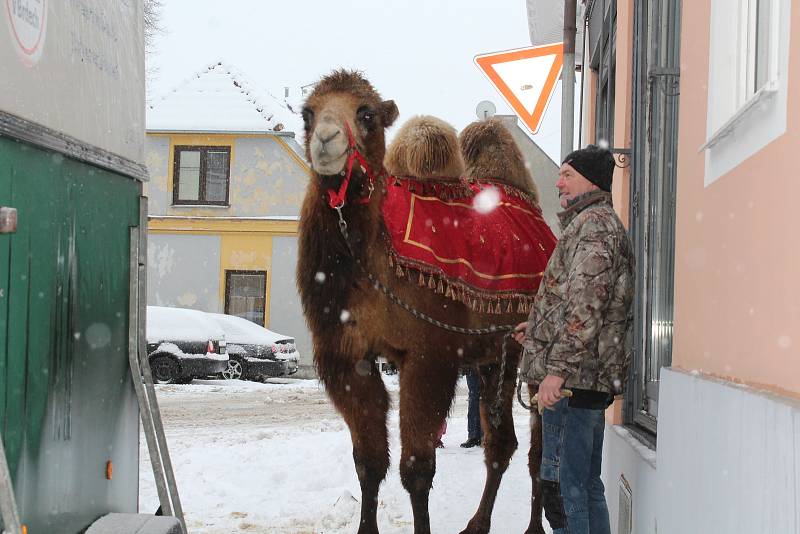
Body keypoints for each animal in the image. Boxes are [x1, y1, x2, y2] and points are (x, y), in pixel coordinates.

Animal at [296, 71, 552, 534]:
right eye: (307, 113)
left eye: (367, 114)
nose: (326, 139)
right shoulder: (349, 356)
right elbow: (369, 462)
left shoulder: (429, 355)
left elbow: (416, 468)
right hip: (496, 355)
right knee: (501, 442)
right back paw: (477, 524)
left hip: (535, 352)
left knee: (540, 448)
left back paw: (532, 527)